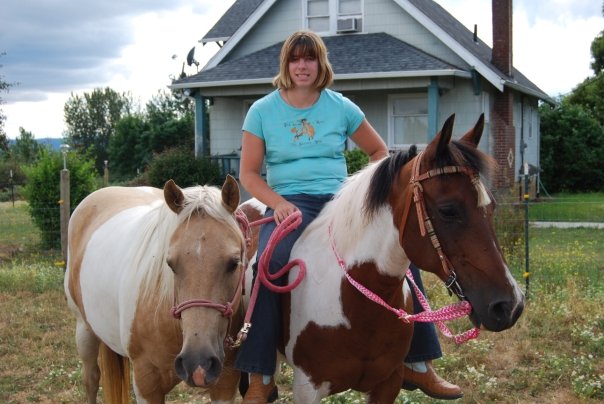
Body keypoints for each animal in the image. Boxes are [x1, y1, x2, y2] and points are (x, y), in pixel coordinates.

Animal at [64, 177, 248, 404]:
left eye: (234, 263)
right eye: (170, 264)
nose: (197, 362)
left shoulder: (225, 383)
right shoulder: (147, 385)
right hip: (84, 329)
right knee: (91, 379)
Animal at [239, 112, 524, 402]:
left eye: (492, 206)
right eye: (448, 210)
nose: (510, 306)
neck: (353, 299)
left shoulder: (389, 382)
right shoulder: (307, 388)